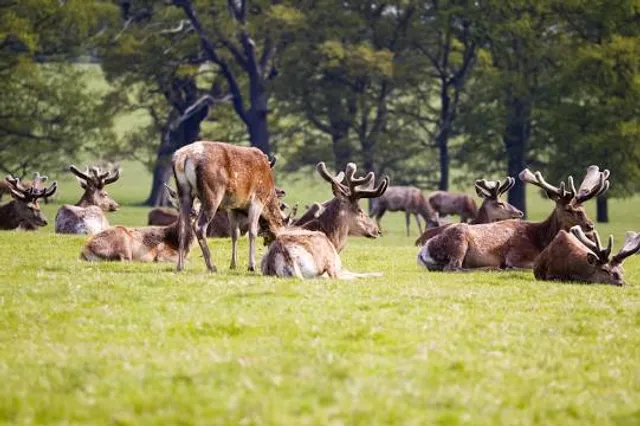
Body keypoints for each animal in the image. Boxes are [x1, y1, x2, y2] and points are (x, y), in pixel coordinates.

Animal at [172, 141, 285, 272]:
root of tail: (183, 157)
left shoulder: (233, 208)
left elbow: (235, 234)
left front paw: (233, 265)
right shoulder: (257, 200)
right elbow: (252, 232)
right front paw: (251, 265)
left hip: (183, 192)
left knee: (182, 226)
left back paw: (180, 266)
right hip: (213, 193)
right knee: (199, 226)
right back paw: (211, 266)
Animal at [261, 162, 389, 279]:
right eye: (359, 209)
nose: (377, 230)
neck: (334, 241)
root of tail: (288, 258)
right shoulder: (337, 264)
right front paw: (380, 273)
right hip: (328, 263)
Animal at [418, 165, 609, 271]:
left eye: (583, 208)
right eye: (569, 209)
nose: (590, 225)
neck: (541, 240)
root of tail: (423, 250)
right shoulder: (517, 256)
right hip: (459, 241)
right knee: (454, 268)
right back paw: (493, 268)